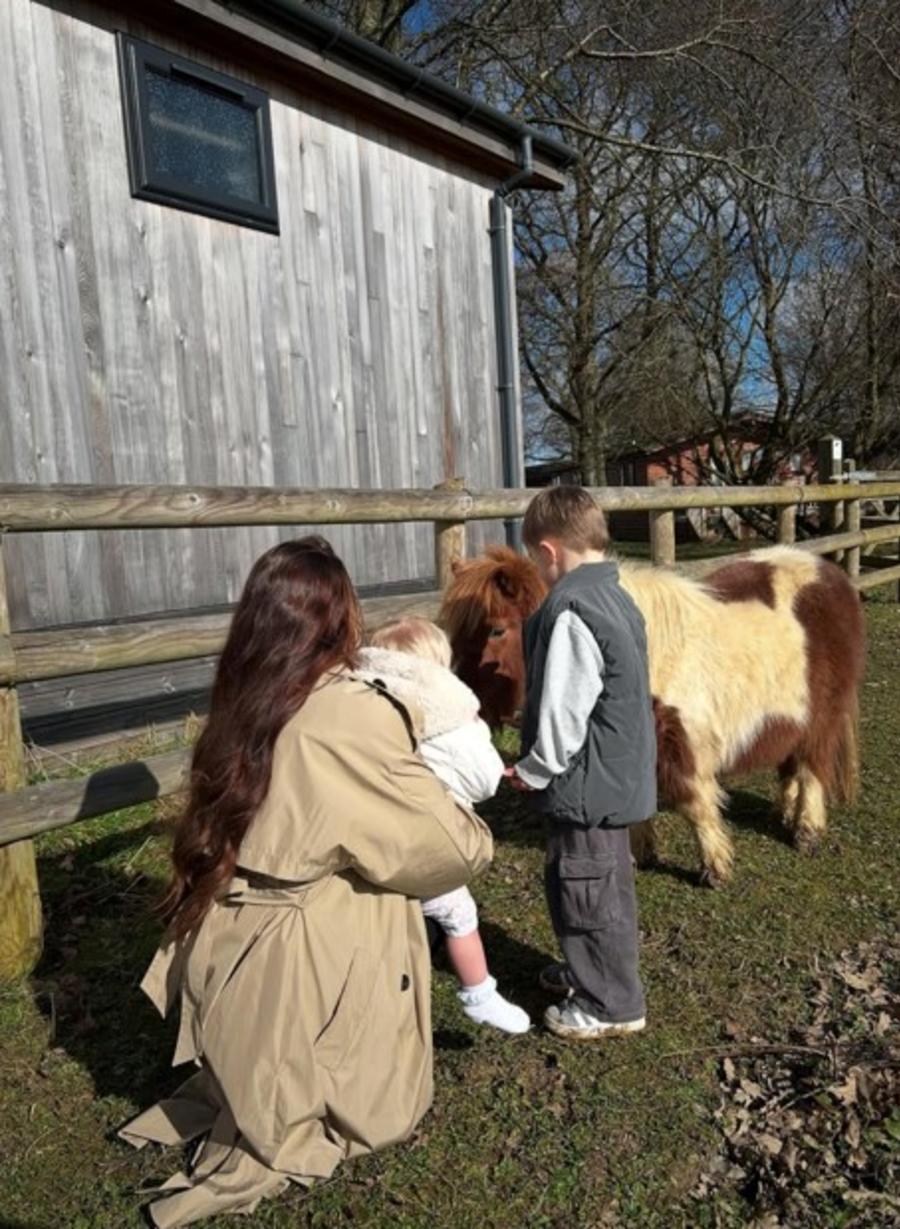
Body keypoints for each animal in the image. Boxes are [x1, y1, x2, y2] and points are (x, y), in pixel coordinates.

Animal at [439, 545, 865, 886]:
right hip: (790, 718)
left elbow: (695, 805)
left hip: (823, 716)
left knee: (812, 769)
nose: (464, 702)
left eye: (495, 631)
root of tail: (830, 572)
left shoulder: (683, 746)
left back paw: (806, 831)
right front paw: (640, 855)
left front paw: (716, 867)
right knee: (791, 766)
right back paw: (785, 814)